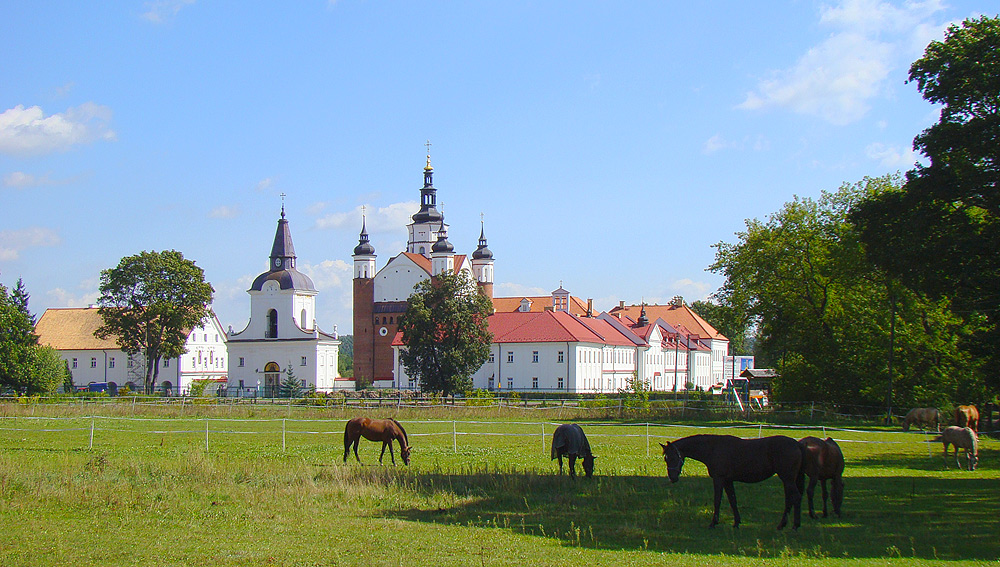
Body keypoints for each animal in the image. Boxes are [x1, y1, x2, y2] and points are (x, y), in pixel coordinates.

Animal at [660, 434, 808, 532]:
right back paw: (782, 525)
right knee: (789, 500)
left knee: (796, 498)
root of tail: (797, 444)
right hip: (788, 480)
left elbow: (717, 500)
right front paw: (736, 523)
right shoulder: (728, 481)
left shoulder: (719, 479)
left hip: (787, 479)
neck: (713, 448)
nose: (672, 478)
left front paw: (713, 523)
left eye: (672, 457)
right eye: (666, 459)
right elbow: (733, 500)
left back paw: (795, 526)